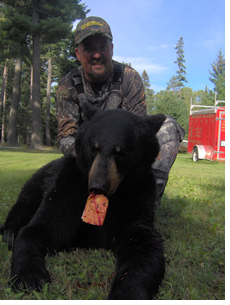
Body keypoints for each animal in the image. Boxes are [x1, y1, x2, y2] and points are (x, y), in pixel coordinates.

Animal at [0, 103, 165, 298]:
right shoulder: (67, 189)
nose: (97, 186)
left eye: (121, 153)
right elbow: (37, 229)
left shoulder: (137, 200)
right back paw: (11, 232)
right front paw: (29, 276)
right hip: (38, 182)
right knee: (24, 203)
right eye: (94, 148)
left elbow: (145, 244)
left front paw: (125, 293)